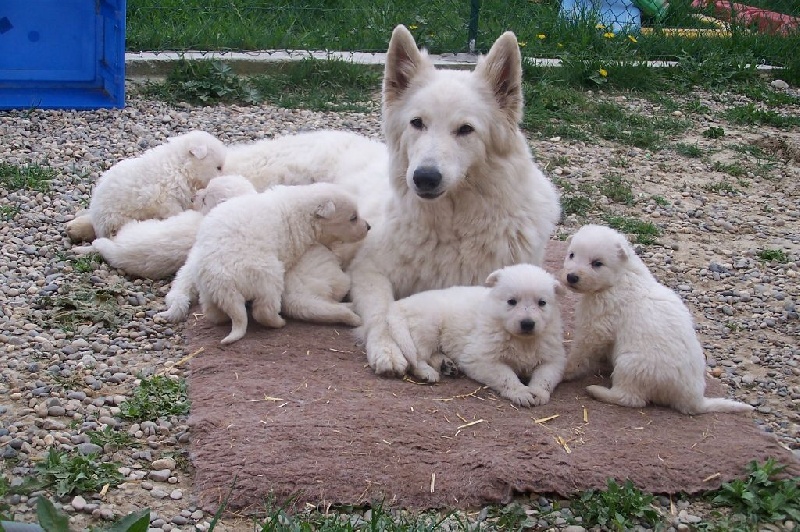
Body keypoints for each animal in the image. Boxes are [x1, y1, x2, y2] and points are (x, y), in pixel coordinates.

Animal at [177, 184, 370, 344]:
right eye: (353, 218)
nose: (368, 227)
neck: (301, 211)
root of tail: (224, 283)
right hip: (268, 276)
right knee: (264, 311)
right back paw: (278, 322)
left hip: (208, 290)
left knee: (213, 312)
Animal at [560, 224, 752, 416]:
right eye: (572, 255)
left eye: (597, 263)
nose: (571, 277)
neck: (619, 278)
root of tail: (694, 400)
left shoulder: (596, 326)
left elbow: (581, 352)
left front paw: (566, 370)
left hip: (632, 365)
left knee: (631, 398)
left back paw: (596, 391)